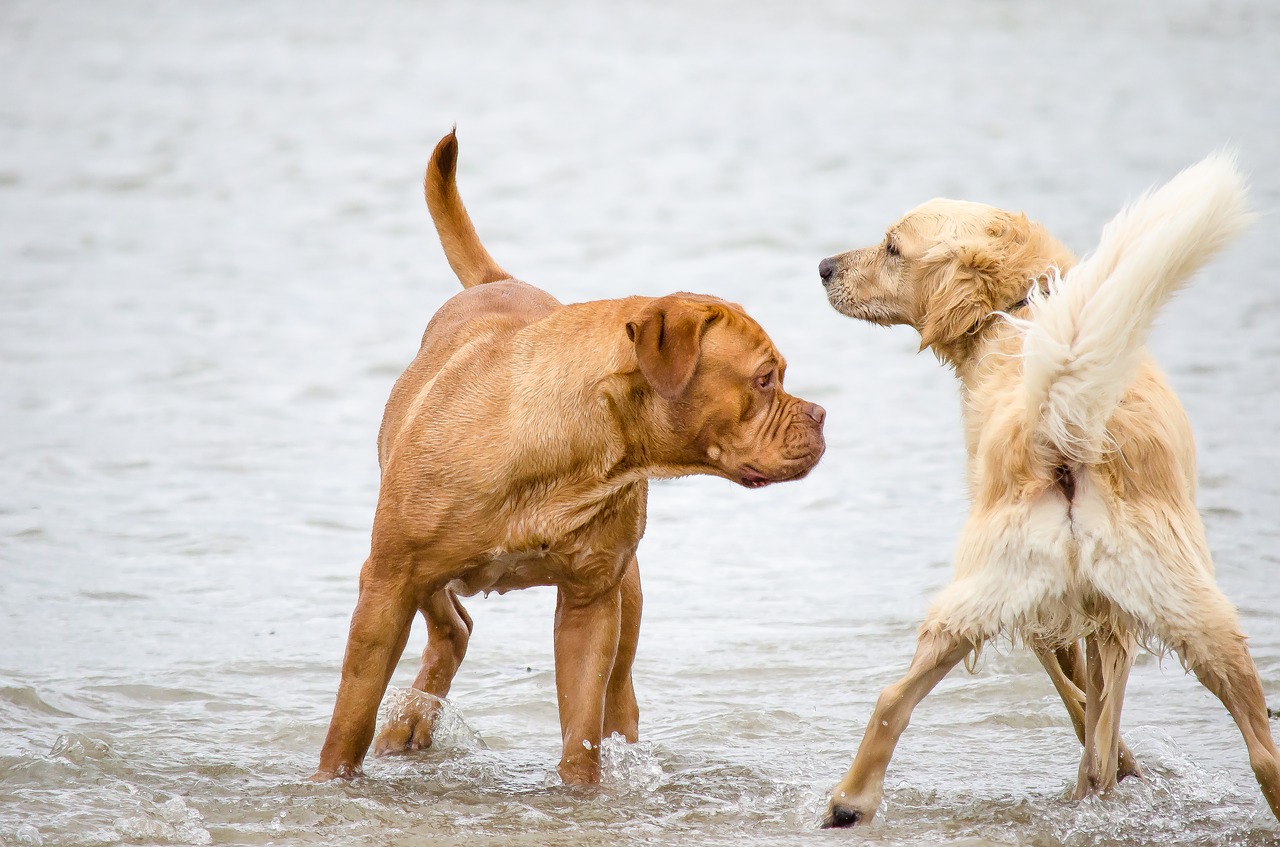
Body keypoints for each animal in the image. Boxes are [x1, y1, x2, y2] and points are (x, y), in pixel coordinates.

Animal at [311, 129, 829, 788]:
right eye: (765, 379)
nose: (821, 415)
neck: (573, 456)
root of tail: (495, 279)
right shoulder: (385, 585)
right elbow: (350, 715)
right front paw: (330, 781)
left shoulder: (591, 605)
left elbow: (582, 726)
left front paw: (581, 790)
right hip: (404, 561)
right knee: (451, 625)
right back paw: (408, 721)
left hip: (625, 594)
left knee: (608, 687)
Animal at [814, 157, 1274, 829]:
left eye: (893, 247)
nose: (823, 267)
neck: (1022, 307)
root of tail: (1067, 428)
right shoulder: (1099, 607)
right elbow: (1094, 696)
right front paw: (1116, 760)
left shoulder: (1064, 604)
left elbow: (1075, 686)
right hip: (1191, 609)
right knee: (1259, 747)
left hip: (990, 587)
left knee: (894, 696)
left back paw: (850, 802)